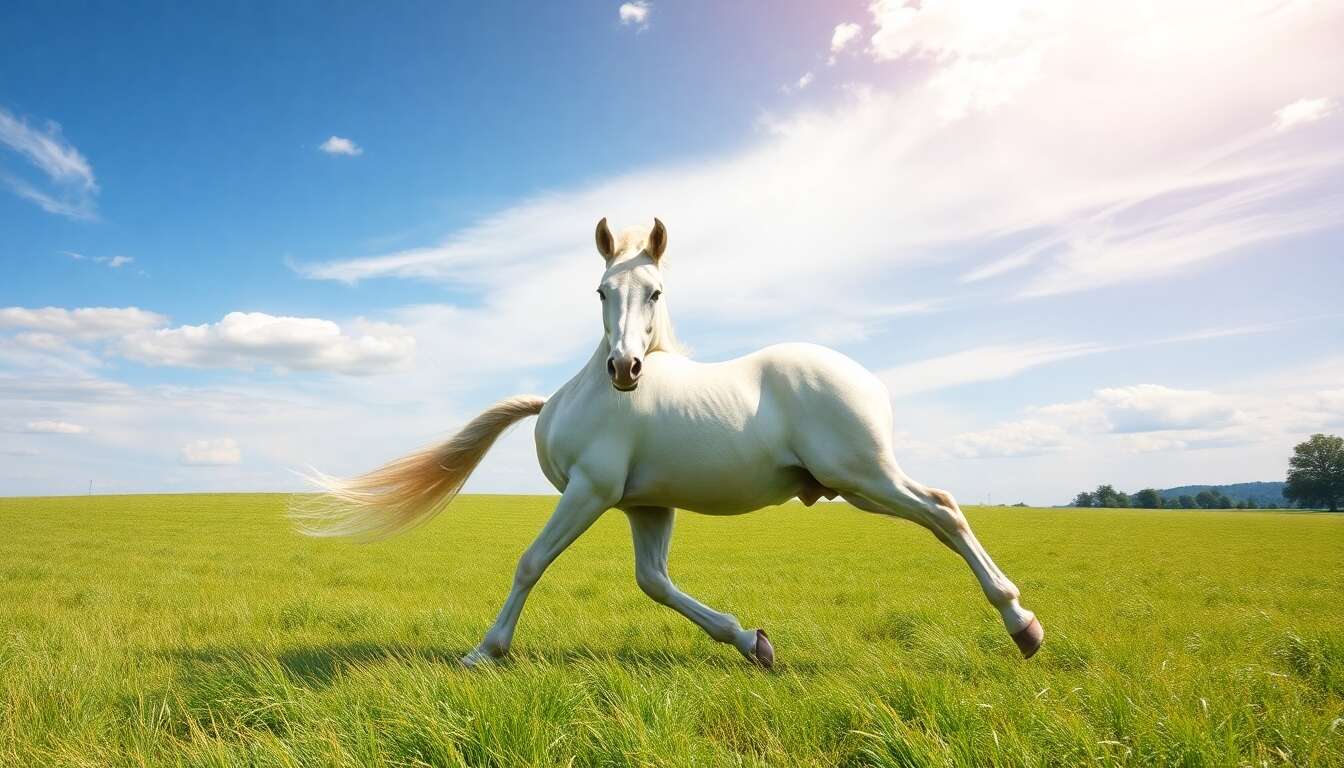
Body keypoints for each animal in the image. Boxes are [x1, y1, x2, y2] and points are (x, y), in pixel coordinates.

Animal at [294, 218, 1044, 669]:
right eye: (601, 290)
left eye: (655, 291)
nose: (625, 368)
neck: (578, 397)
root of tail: (867, 381)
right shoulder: (644, 507)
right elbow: (654, 582)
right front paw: (753, 643)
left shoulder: (590, 491)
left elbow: (531, 563)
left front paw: (486, 650)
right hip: (859, 484)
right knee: (945, 506)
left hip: (864, 478)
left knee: (943, 512)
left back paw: (1022, 624)